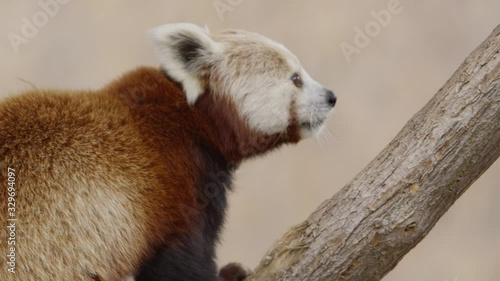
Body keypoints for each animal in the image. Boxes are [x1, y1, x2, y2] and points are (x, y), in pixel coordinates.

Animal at [0, 23, 336, 278]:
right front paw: (229, 274)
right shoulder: (177, 179)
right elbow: (181, 261)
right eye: (296, 79)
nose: (331, 97)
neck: (191, 117)